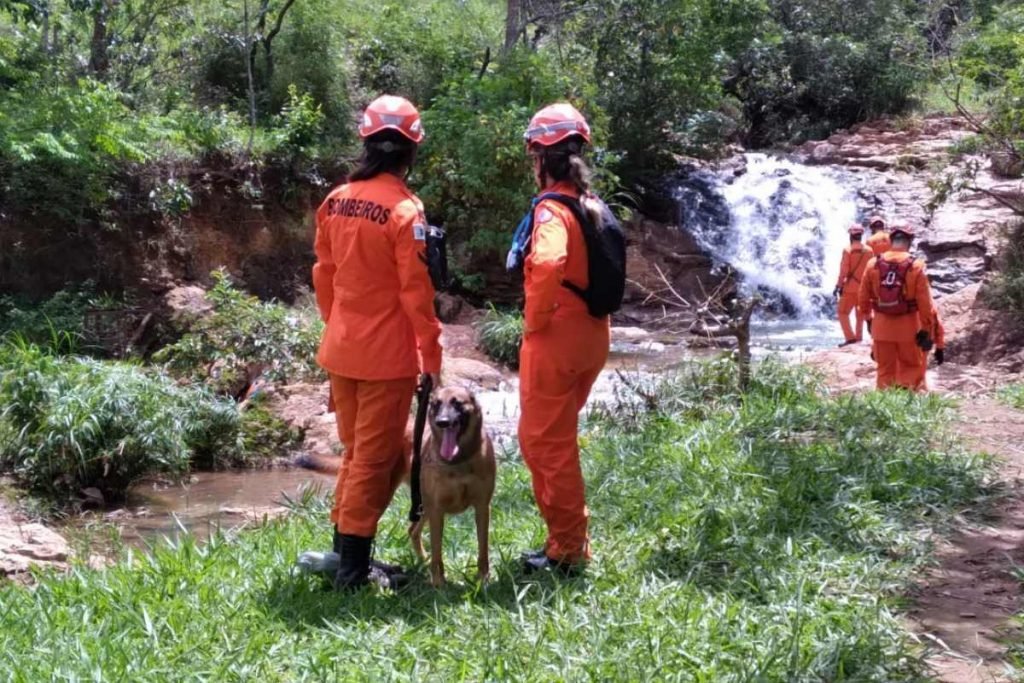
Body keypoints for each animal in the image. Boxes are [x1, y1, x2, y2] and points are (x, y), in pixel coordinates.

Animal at [294, 385, 493, 589]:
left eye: (457, 403)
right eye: (436, 404)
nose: (442, 422)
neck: (459, 461)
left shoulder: (482, 508)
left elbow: (483, 549)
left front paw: (483, 581)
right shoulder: (437, 510)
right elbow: (438, 553)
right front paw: (439, 584)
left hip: (422, 505)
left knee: (413, 531)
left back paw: (422, 562)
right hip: (397, 498)